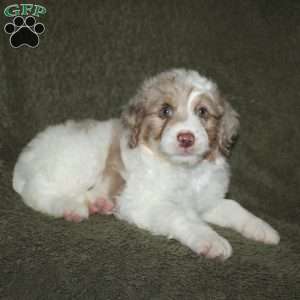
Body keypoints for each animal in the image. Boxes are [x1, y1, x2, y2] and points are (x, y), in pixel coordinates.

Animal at [11, 69, 278, 258]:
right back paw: (71, 208)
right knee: (38, 192)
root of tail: (24, 159)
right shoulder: (146, 203)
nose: (186, 138)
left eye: (202, 112)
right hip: (79, 162)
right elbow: (182, 217)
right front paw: (211, 240)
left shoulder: (207, 202)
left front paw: (263, 229)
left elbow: (234, 207)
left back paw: (100, 203)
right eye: (165, 111)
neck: (185, 172)